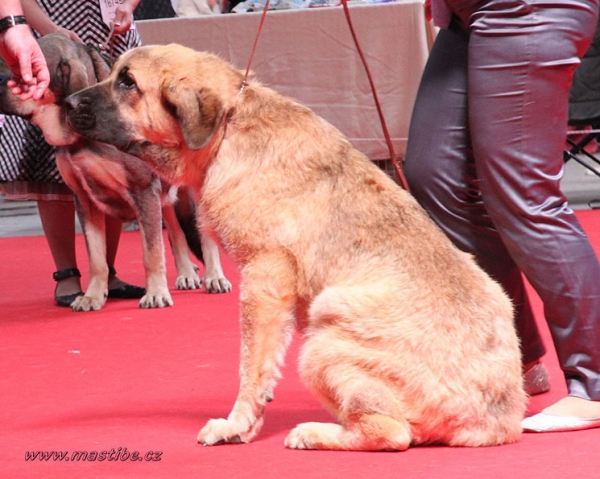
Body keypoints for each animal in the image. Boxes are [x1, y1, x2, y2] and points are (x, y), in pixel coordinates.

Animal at [0, 33, 232, 312]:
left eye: (24, 71)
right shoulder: (85, 199)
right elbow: (97, 258)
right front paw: (92, 296)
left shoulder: (143, 190)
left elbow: (151, 252)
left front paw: (155, 294)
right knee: (176, 233)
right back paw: (187, 274)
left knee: (205, 238)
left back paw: (215, 277)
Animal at [64, 43, 524, 452]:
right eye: (113, 73)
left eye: (127, 82)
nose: (67, 102)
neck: (228, 128)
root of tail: (500, 421)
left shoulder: (263, 280)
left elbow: (251, 365)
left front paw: (235, 423)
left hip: (322, 340)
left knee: (392, 433)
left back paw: (315, 434)